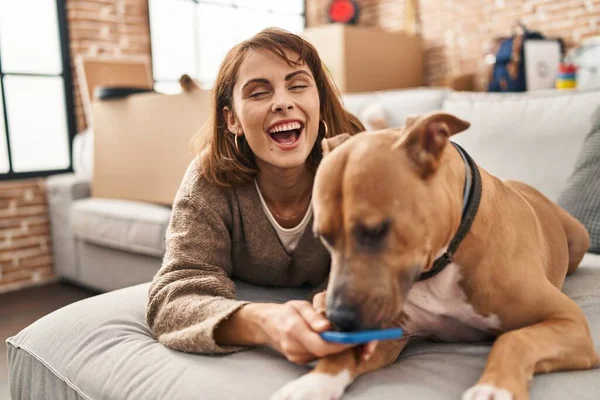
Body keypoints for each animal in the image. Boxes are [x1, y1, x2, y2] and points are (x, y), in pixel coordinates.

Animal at [274, 111, 600, 398]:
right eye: (324, 238)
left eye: (376, 230)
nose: (338, 318)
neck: (443, 261)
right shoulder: (388, 334)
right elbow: (344, 354)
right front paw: (313, 383)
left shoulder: (567, 320)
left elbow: (514, 338)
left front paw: (493, 388)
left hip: (580, 240)